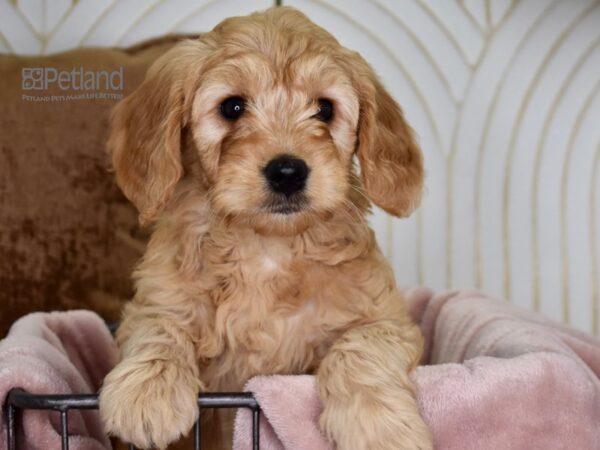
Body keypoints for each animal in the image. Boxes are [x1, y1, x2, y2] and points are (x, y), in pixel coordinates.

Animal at [99, 6, 432, 450]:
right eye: (232, 107)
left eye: (325, 109)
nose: (287, 172)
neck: (267, 248)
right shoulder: (158, 297)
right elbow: (160, 326)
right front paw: (147, 392)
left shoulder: (388, 318)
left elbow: (360, 345)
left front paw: (378, 424)